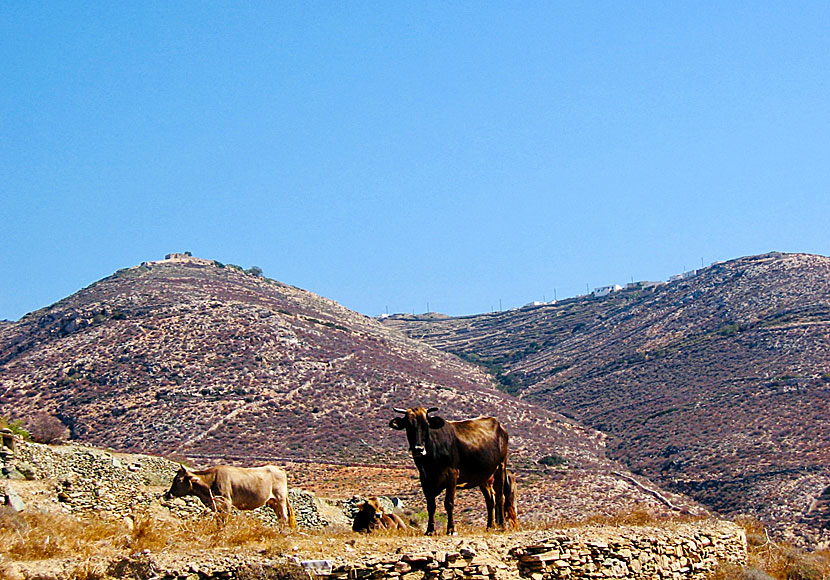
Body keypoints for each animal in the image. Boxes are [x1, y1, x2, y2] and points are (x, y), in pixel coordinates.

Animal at [164, 464, 298, 528]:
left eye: (178, 480)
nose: (168, 494)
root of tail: (278, 468)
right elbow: (218, 521)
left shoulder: (226, 503)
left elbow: (224, 521)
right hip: (272, 502)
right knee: (280, 518)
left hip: (280, 499)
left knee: (284, 517)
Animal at [390, 408, 508, 536]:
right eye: (408, 425)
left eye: (426, 425)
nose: (418, 449)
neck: (429, 461)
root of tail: (499, 425)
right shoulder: (425, 479)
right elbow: (431, 506)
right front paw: (430, 530)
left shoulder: (452, 475)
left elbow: (449, 503)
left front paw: (451, 529)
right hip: (484, 476)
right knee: (490, 500)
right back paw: (489, 526)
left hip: (501, 466)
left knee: (500, 497)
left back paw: (502, 526)